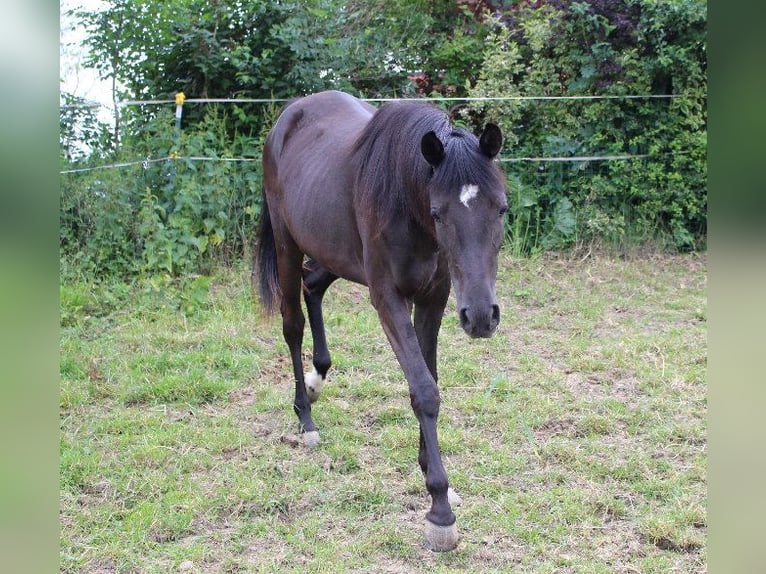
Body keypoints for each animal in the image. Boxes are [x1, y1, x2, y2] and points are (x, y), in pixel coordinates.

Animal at [255, 90, 510, 552]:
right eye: (438, 213)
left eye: (501, 208)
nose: (482, 316)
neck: (405, 200)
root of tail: (289, 115)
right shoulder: (388, 299)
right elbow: (424, 391)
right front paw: (439, 512)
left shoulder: (434, 298)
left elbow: (429, 380)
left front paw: (436, 479)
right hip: (287, 244)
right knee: (292, 323)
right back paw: (305, 417)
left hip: (335, 252)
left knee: (313, 286)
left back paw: (318, 378)